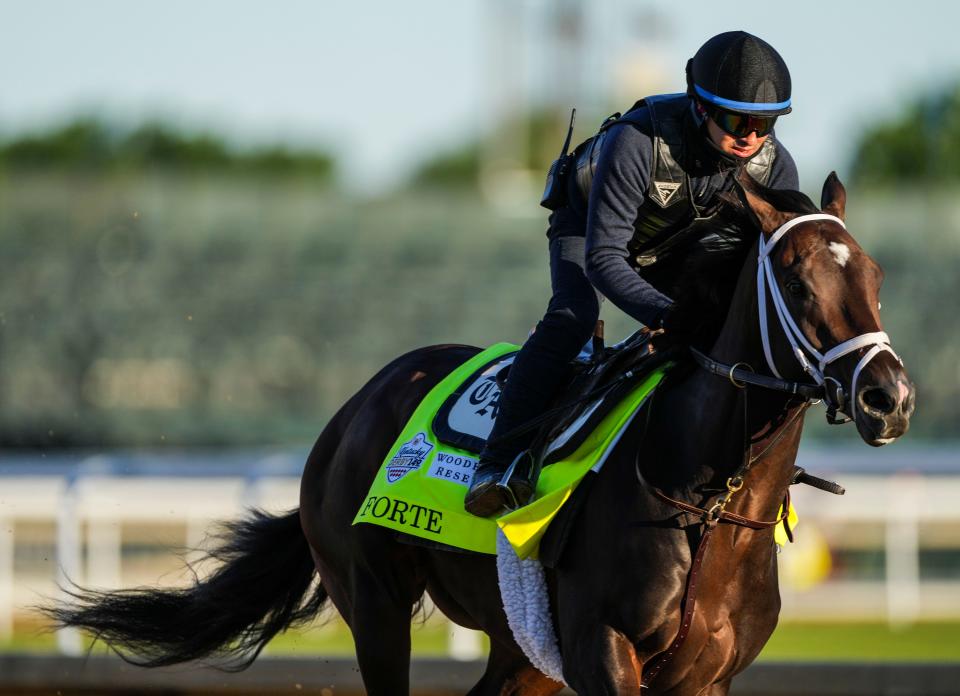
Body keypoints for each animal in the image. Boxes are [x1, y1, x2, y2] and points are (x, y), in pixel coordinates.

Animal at [50, 171, 916, 692]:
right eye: (797, 283)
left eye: (874, 277)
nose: (890, 397)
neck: (705, 503)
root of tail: (354, 409)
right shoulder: (604, 654)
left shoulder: (704, 674)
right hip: (375, 602)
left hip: (519, 645)